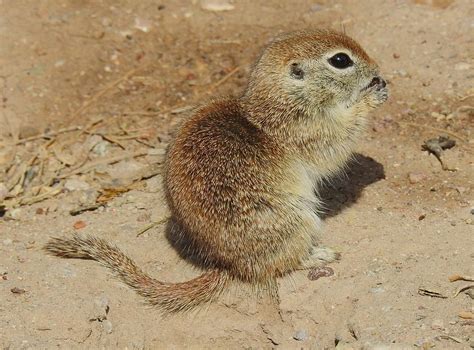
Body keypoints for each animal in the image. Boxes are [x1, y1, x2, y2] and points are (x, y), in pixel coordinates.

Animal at [45, 29, 388, 312]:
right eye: (340, 60)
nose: (377, 71)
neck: (282, 101)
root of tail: (230, 266)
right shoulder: (308, 131)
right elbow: (337, 144)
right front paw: (372, 98)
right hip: (299, 221)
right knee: (283, 264)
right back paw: (320, 255)